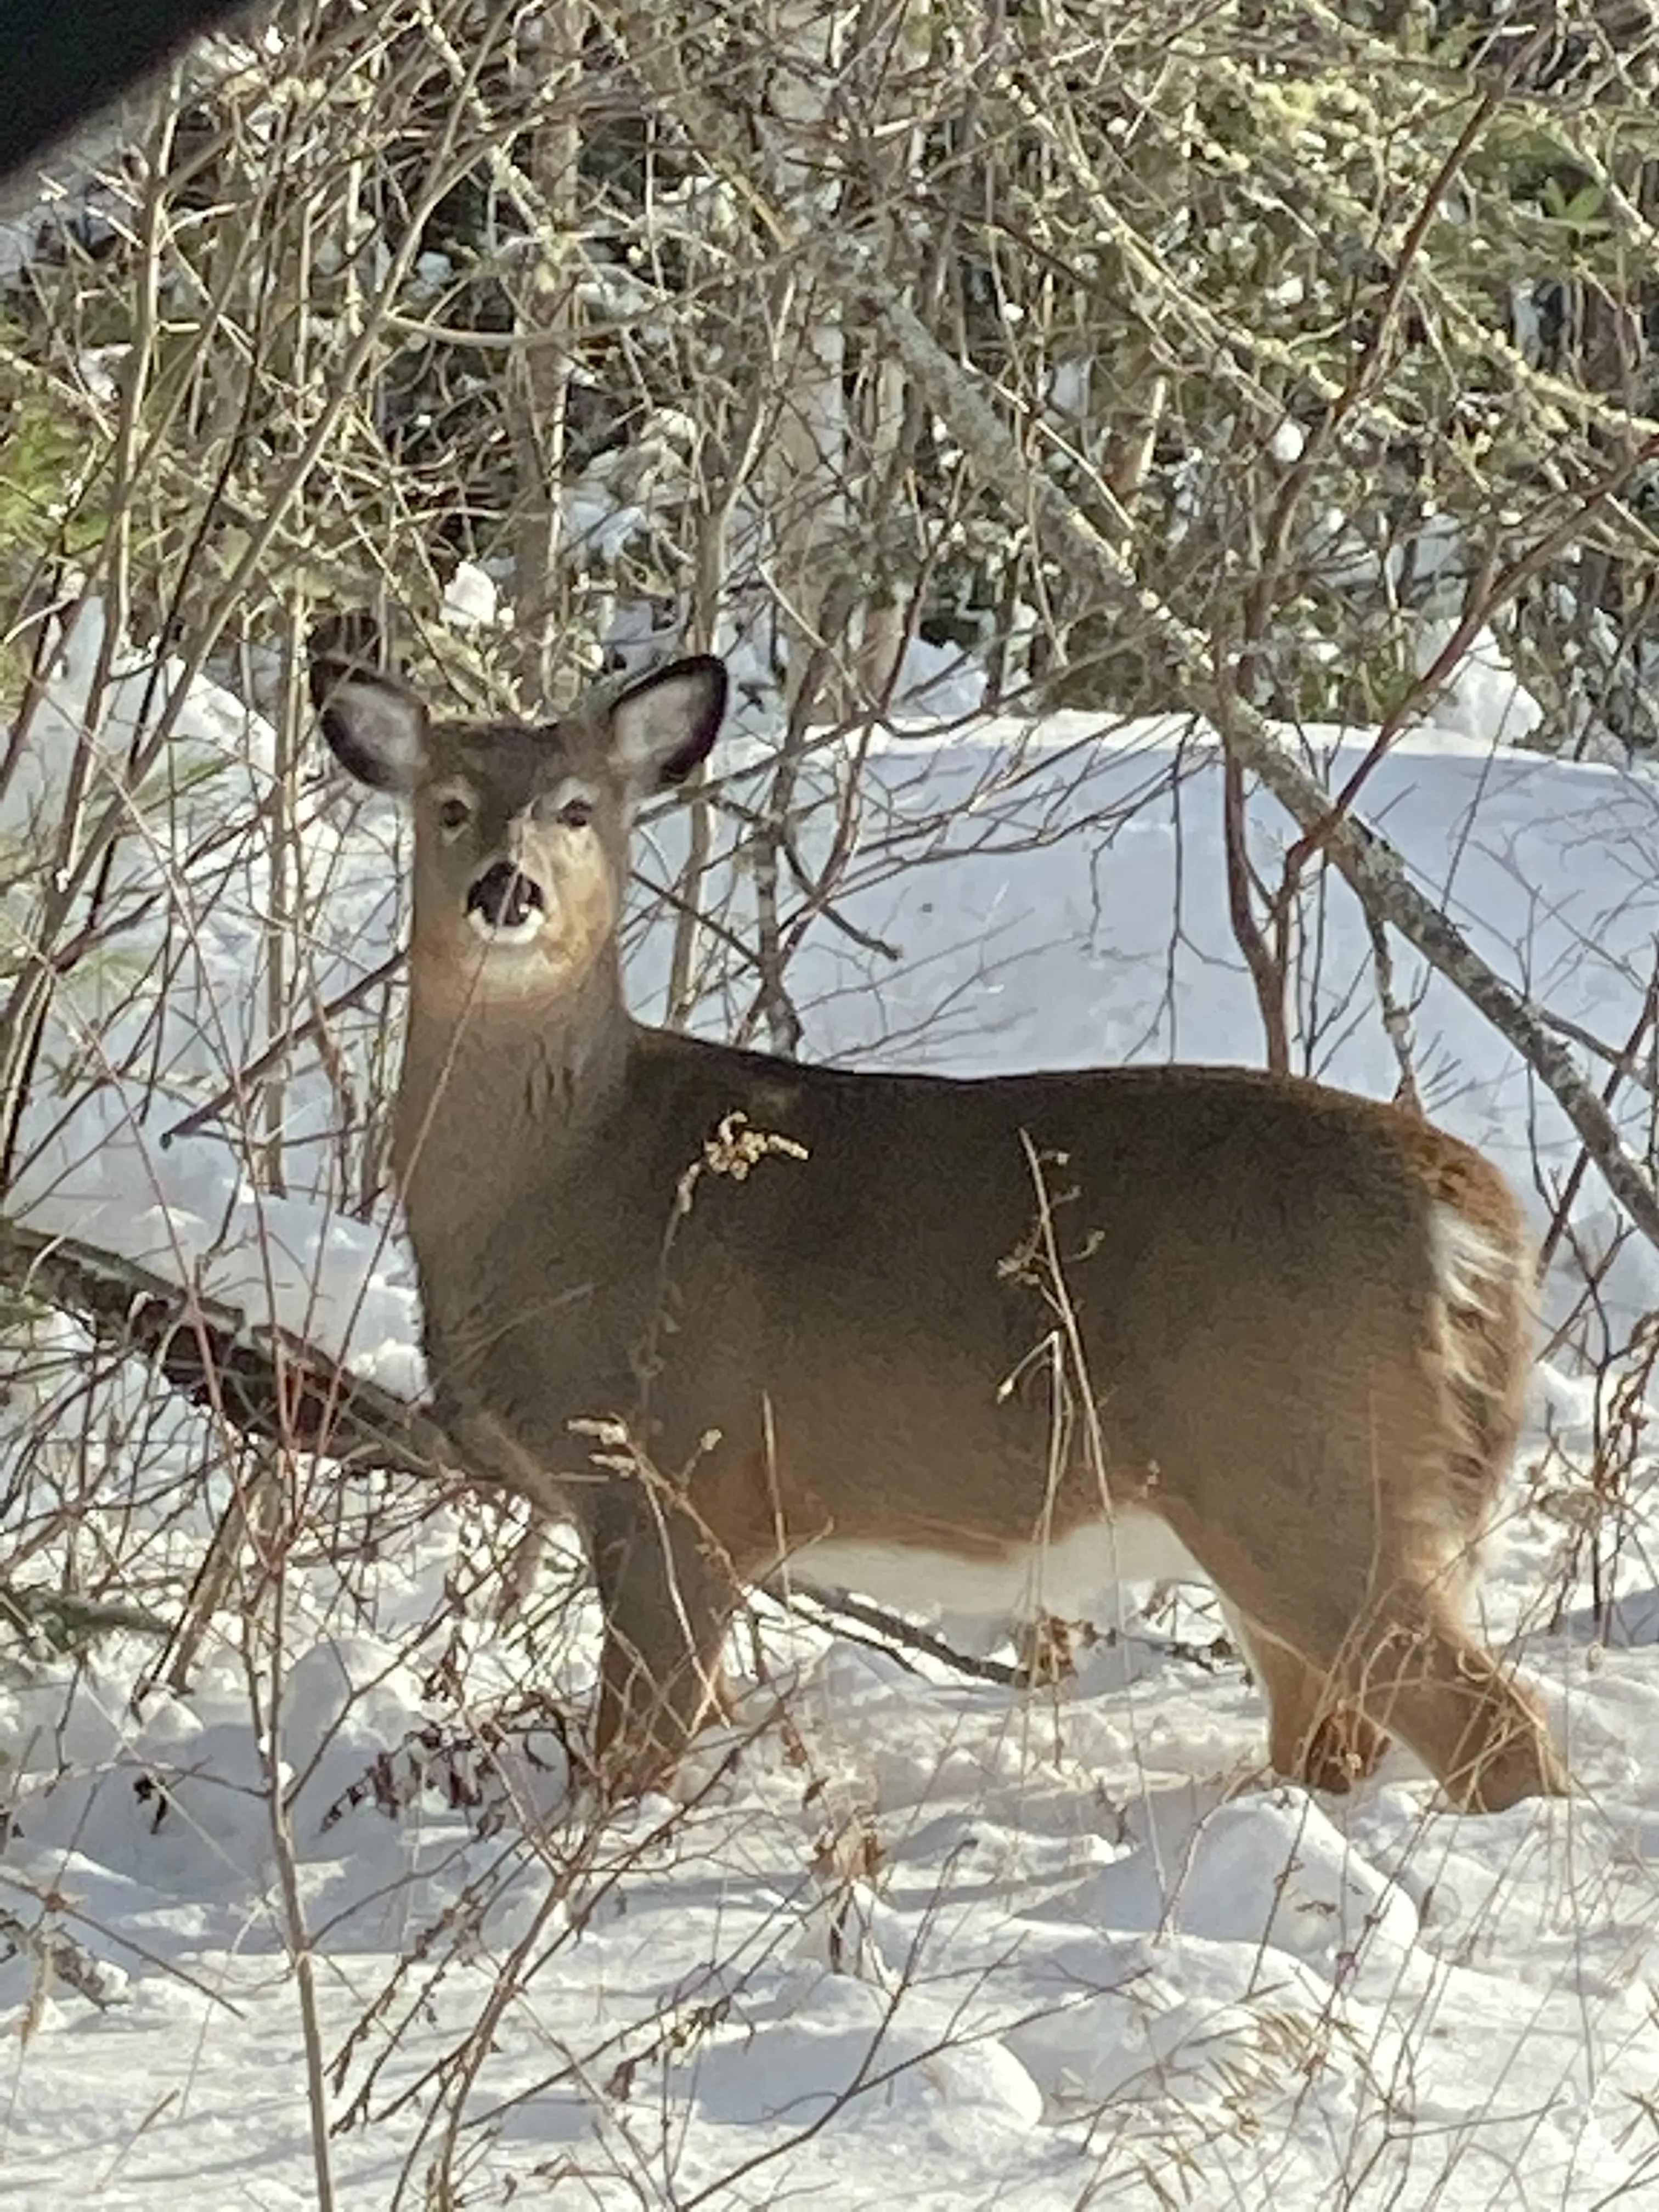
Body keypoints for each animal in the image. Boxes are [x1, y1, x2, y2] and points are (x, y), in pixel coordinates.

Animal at [308, 613, 1570, 1814]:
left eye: (578, 809)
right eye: (448, 805)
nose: (506, 888)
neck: (573, 1176)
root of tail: (1476, 1218)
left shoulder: (680, 1476)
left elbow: (630, 1758)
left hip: (1312, 1470)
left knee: (1497, 1731)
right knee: (1335, 1739)